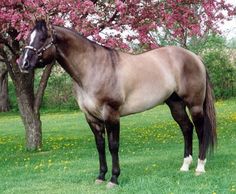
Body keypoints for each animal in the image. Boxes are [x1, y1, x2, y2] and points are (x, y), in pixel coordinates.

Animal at [18, 20, 216, 188]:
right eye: (28, 38)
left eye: (42, 38)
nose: (23, 63)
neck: (93, 68)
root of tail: (195, 57)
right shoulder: (91, 117)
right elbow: (100, 146)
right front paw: (100, 176)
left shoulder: (111, 114)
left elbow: (113, 145)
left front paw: (114, 179)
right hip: (175, 105)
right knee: (186, 128)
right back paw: (185, 166)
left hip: (194, 105)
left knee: (200, 130)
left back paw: (200, 167)